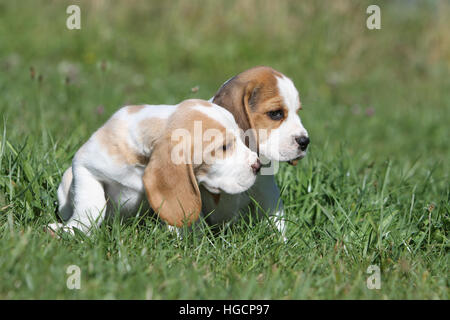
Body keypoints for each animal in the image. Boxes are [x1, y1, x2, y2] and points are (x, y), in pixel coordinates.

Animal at [200, 66, 310, 239]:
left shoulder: (267, 191)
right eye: (276, 113)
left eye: (298, 111)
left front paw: (283, 242)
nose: (305, 141)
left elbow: (277, 222)